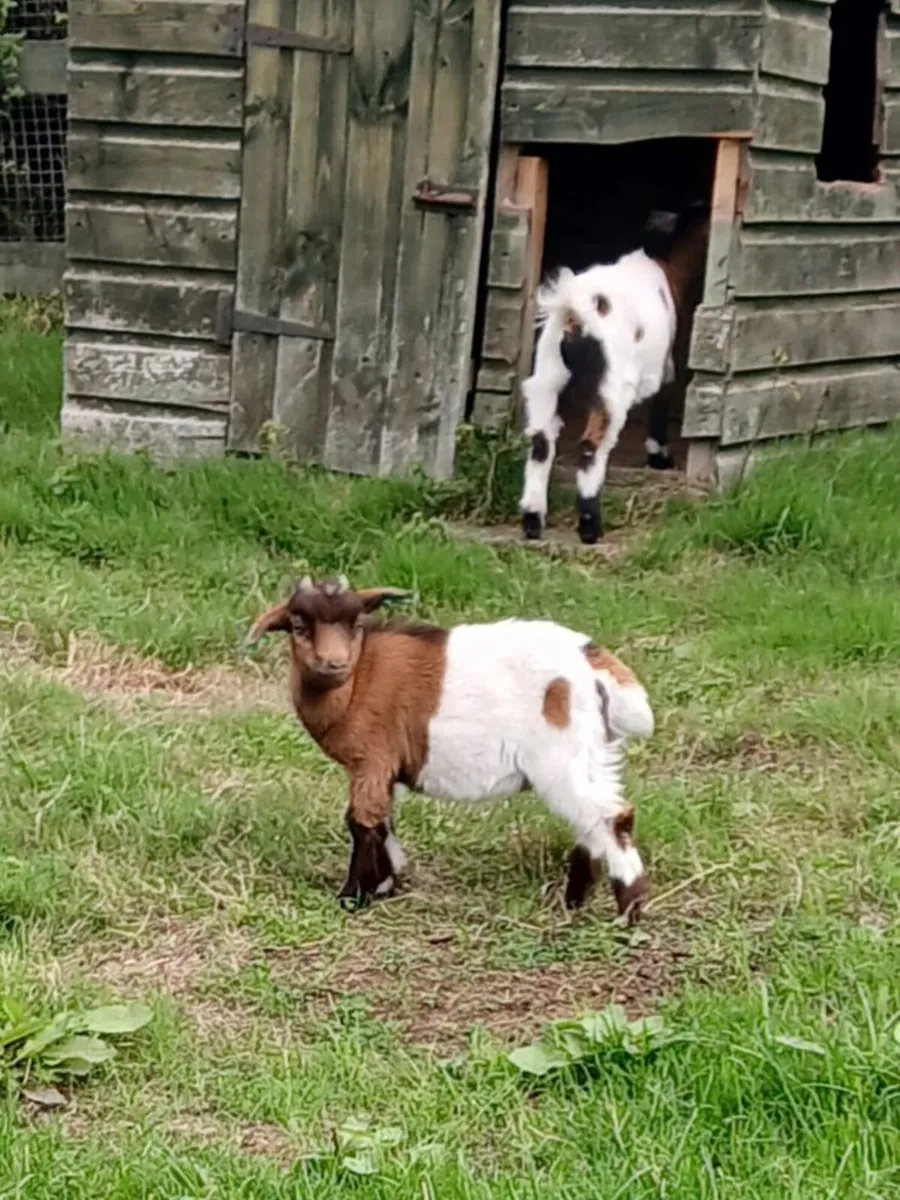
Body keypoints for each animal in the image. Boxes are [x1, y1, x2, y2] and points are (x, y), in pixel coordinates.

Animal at [245, 575, 655, 921]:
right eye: (298, 626)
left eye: (356, 623)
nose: (334, 663)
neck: (358, 680)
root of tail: (593, 663)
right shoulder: (385, 766)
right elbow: (384, 818)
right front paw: (386, 883)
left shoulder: (371, 757)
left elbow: (361, 822)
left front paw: (351, 896)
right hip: (594, 750)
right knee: (592, 818)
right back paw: (575, 900)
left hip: (561, 753)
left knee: (610, 816)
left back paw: (626, 912)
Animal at [520, 206, 710, 544]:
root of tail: (575, 311)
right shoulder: (663, 364)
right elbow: (661, 400)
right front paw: (659, 456)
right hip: (612, 384)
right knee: (592, 444)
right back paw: (589, 525)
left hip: (547, 376)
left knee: (541, 441)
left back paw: (532, 520)